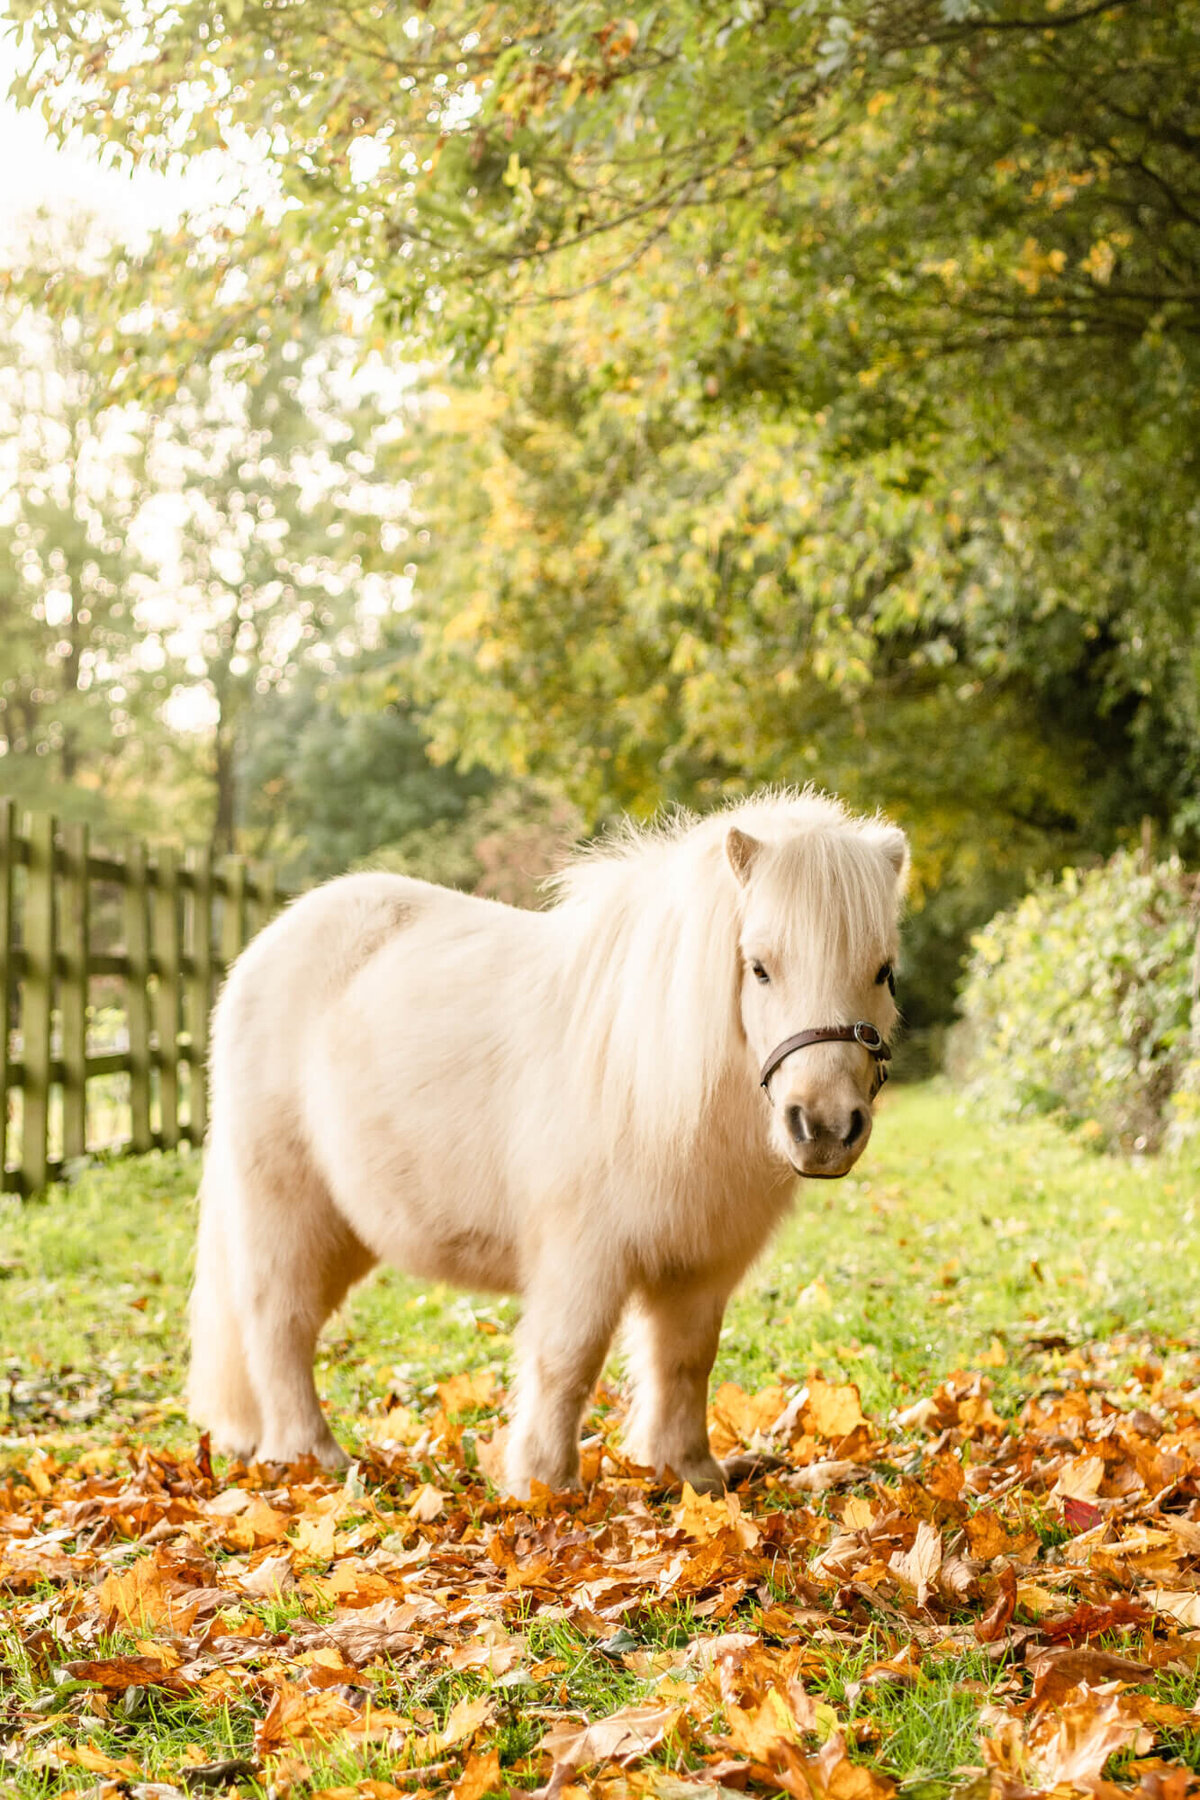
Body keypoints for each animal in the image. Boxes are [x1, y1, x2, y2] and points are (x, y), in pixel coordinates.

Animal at [192, 788, 910, 1490]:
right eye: (759, 968)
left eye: (882, 970)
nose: (823, 1127)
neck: (649, 1067)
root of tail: (264, 950)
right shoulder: (583, 1253)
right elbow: (569, 1359)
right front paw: (547, 1486)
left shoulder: (700, 1262)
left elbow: (684, 1360)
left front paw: (690, 1474)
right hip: (287, 1208)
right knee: (279, 1323)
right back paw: (312, 1458)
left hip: (350, 1230)